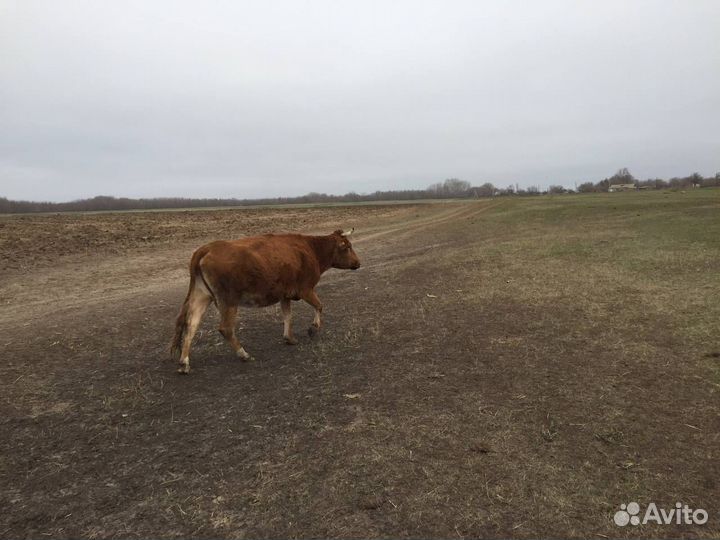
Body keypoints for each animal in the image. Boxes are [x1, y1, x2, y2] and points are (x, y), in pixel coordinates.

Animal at [169, 227, 360, 372]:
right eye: (348, 247)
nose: (358, 263)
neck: (311, 249)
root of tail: (207, 248)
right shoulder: (305, 289)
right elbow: (319, 306)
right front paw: (313, 328)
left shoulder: (285, 294)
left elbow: (287, 316)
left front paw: (289, 338)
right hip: (228, 300)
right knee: (226, 328)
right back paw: (243, 354)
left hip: (201, 295)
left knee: (191, 324)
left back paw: (184, 362)